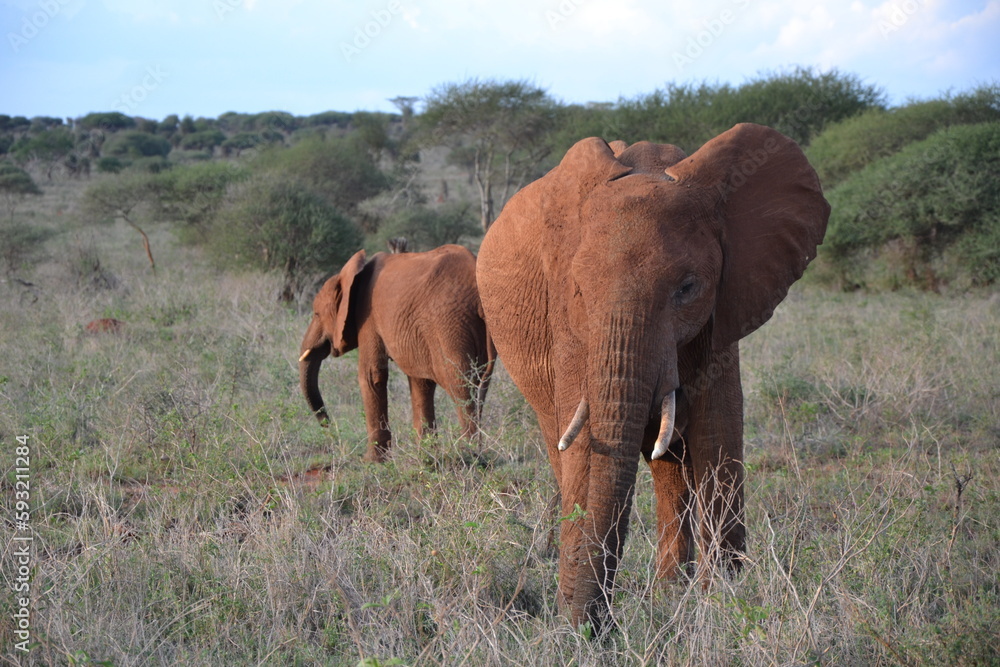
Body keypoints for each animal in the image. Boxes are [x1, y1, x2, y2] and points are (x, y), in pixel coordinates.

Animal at [298, 245, 498, 464]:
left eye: (316, 314)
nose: (328, 425)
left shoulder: (367, 317)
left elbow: (371, 376)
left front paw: (372, 461)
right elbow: (420, 382)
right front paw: (425, 455)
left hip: (449, 325)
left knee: (460, 387)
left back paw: (469, 455)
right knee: (476, 387)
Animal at [476, 124, 828, 632]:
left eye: (687, 288)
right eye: (579, 289)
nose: (594, 629)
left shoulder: (725, 307)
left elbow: (718, 431)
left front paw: (724, 602)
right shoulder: (566, 320)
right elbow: (584, 447)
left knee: (670, 462)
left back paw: (670, 592)